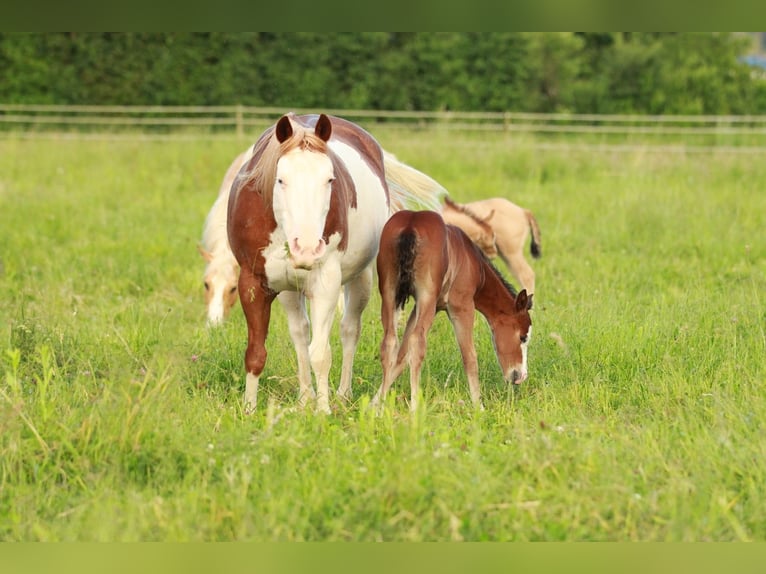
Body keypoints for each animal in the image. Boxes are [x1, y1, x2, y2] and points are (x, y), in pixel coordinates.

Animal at [225, 113, 448, 414]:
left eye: (329, 179)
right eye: (281, 180)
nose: (307, 249)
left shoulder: (325, 284)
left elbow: (321, 353)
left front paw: (323, 411)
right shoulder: (253, 285)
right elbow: (256, 353)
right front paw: (249, 410)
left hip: (360, 279)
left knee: (349, 330)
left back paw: (342, 394)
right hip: (289, 290)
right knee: (300, 334)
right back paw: (304, 397)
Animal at [372, 209, 536, 412]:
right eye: (523, 337)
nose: (520, 376)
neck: (474, 263)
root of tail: (411, 224)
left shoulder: (423, 307)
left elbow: (402, 356)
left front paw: (374, 404)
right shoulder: (461, 307)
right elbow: (470, 356)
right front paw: (479, 406)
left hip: (390, 293)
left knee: (389, 342)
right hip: (426, 297)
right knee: (418, 341)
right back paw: (415, 408)